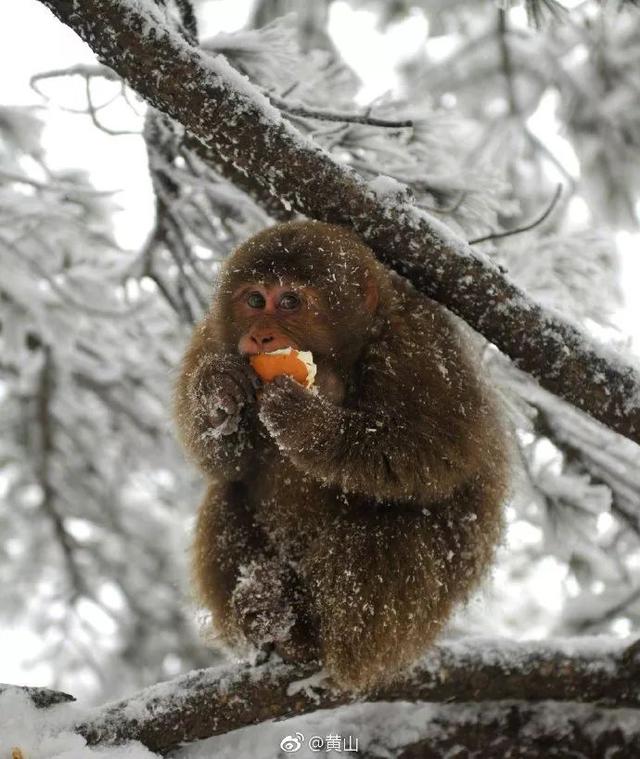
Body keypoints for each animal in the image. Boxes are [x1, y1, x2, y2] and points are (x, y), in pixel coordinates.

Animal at [174, 220, 510, 696]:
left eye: (290, 301)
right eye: (255, 300)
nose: (259, 336)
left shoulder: (421, 346)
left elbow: (437, 455)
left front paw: (307, 423)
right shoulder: (212, 338)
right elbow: (222, 463)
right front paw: (218, 394)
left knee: (391, 526)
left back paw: (309, 638)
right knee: (227, 494)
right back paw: (266, 612)